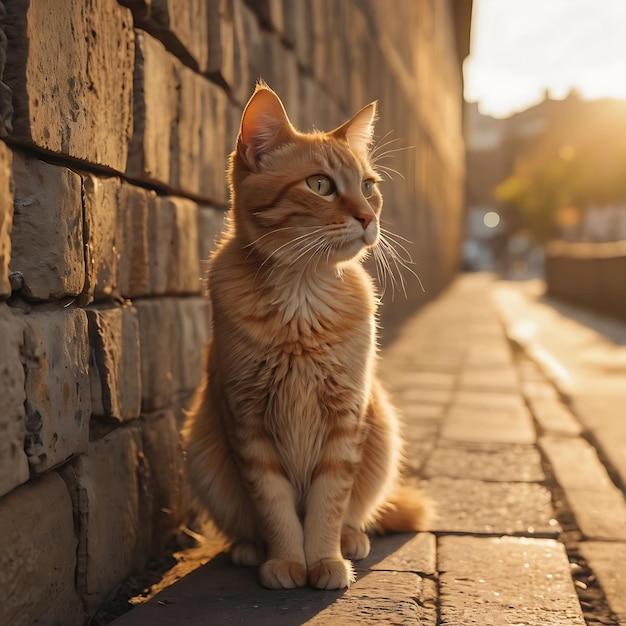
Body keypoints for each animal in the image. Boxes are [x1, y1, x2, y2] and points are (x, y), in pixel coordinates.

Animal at [183, 84, 428, 588]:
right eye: (320, 185)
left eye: (368, 186)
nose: (367, 217)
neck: (302, 296)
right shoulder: (248, 423)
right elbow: (273, 506)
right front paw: (286, 561)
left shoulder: (346, 420)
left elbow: (329, 505)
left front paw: (326, 560)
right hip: (203, 451)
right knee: (245, 523)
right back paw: (249, 549)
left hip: (381, 427)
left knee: (357, 513)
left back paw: (352, 539)